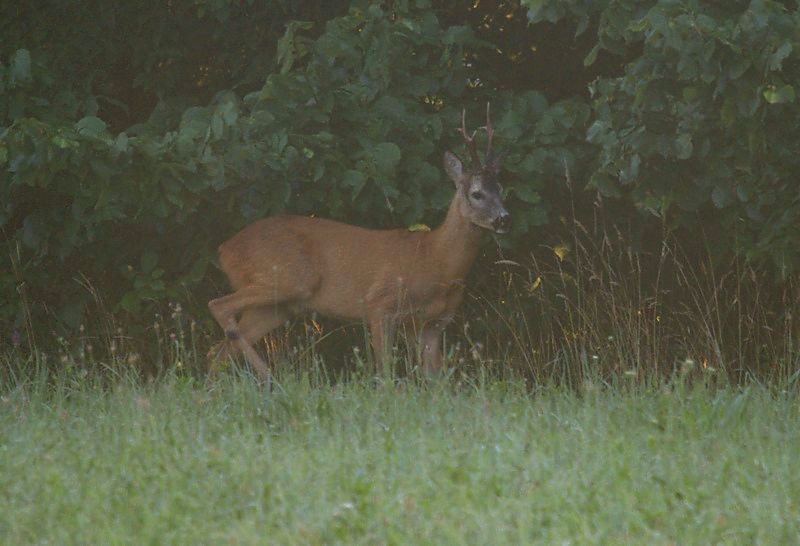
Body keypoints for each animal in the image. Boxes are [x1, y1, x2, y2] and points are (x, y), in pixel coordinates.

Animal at [206, 104, 506, 376]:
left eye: (501, 189)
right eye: (477, 193)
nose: (503, 218)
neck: (436, 259)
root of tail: (225, 249)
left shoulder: (433, 324)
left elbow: (436, 381)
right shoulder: (380, 304)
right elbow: (385, 372)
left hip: (277, 305)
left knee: (220, 350)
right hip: (288, 277)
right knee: (218, 308)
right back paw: (268, 377)